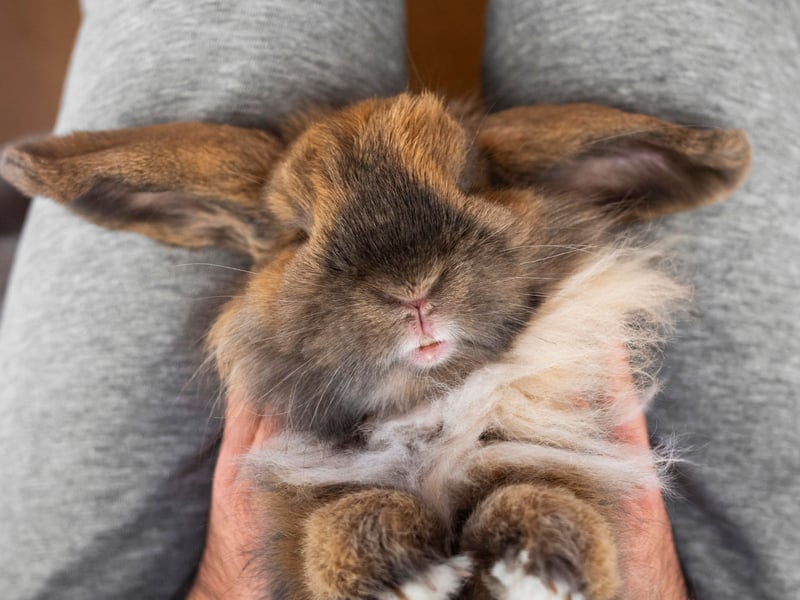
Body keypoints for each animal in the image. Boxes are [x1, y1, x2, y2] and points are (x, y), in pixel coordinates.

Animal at [0, 92, 750, 600]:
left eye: (473, 182)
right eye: (297, 231)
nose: (412, 289)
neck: (430, 403)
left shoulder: (565, 460)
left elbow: (545, 494)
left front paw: (541, 570)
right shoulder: (295, 512)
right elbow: (340, 519)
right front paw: (404, 574)